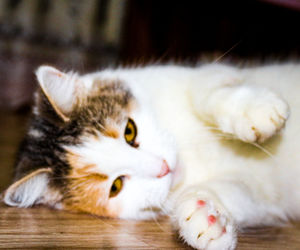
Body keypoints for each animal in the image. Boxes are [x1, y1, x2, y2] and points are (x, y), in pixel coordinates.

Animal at [2, 61, 300, 249]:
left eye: (129, 131)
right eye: (116, 186)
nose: (164, 167)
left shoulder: (201, 75)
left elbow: (208, 89)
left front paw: (257, 112)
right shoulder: (261, 199)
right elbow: (237, 194)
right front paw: (206, 220)